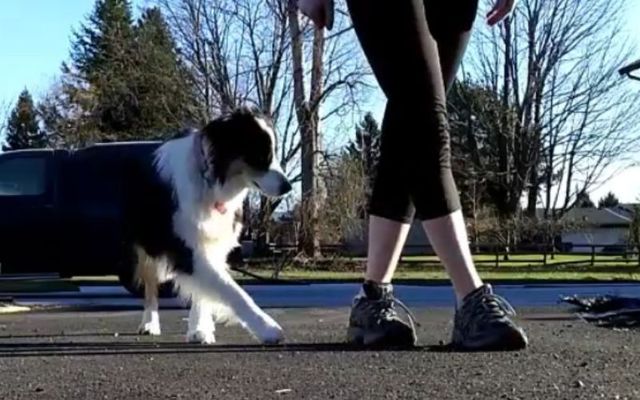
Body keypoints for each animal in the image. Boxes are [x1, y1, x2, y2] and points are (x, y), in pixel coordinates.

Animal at [121, 108, 292, 346]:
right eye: (260, 155)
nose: (288, 186)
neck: (210, 181)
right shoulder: (185, 249)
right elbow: (232, 291)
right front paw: (267, 327)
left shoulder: (211, 243)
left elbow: (204, 291)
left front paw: (199, 329)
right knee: (150, 284)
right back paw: (149, 323)